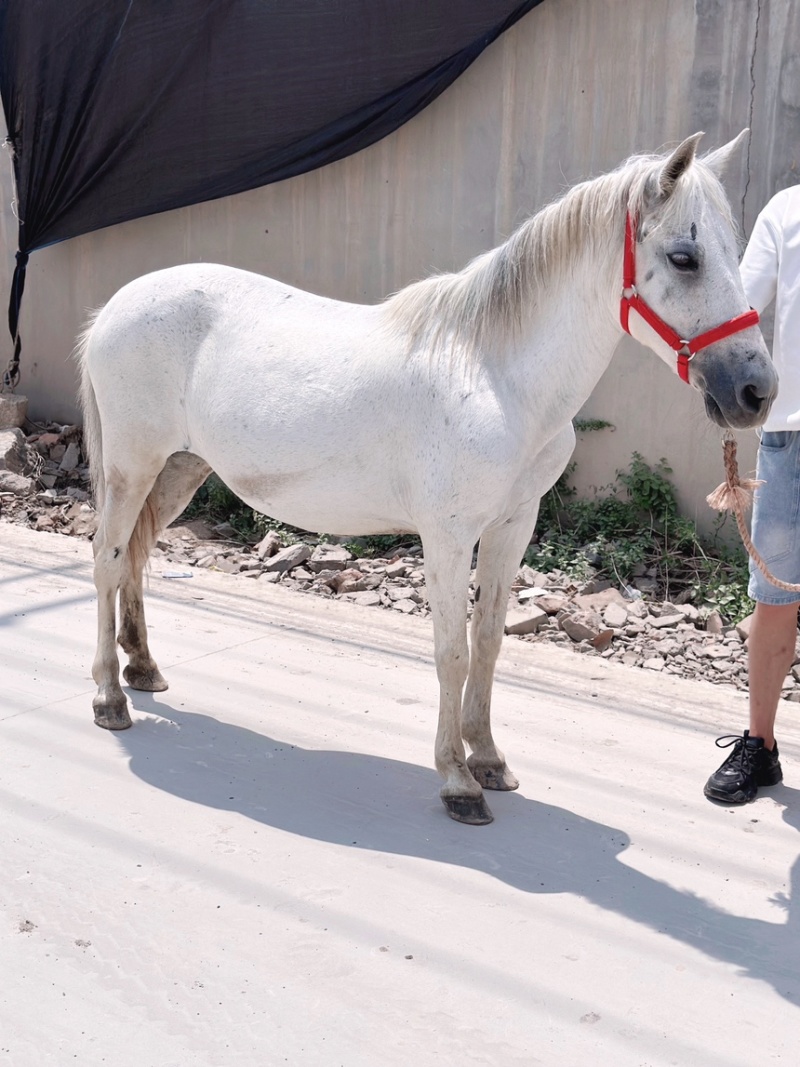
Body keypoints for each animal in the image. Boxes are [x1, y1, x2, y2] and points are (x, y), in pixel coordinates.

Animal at [78, 130, 777, 825]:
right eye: (684, 257)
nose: (756, 391)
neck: (497, 375)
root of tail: (117, 304)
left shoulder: (512, 525)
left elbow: (489, 641)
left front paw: (488, 759)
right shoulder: (447, 535)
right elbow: (452, 651)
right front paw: (457, 780)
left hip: (179, 470)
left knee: (136, 555)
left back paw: (143, 669)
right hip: (131, 467)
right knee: (108, 559)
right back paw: (111, 697)